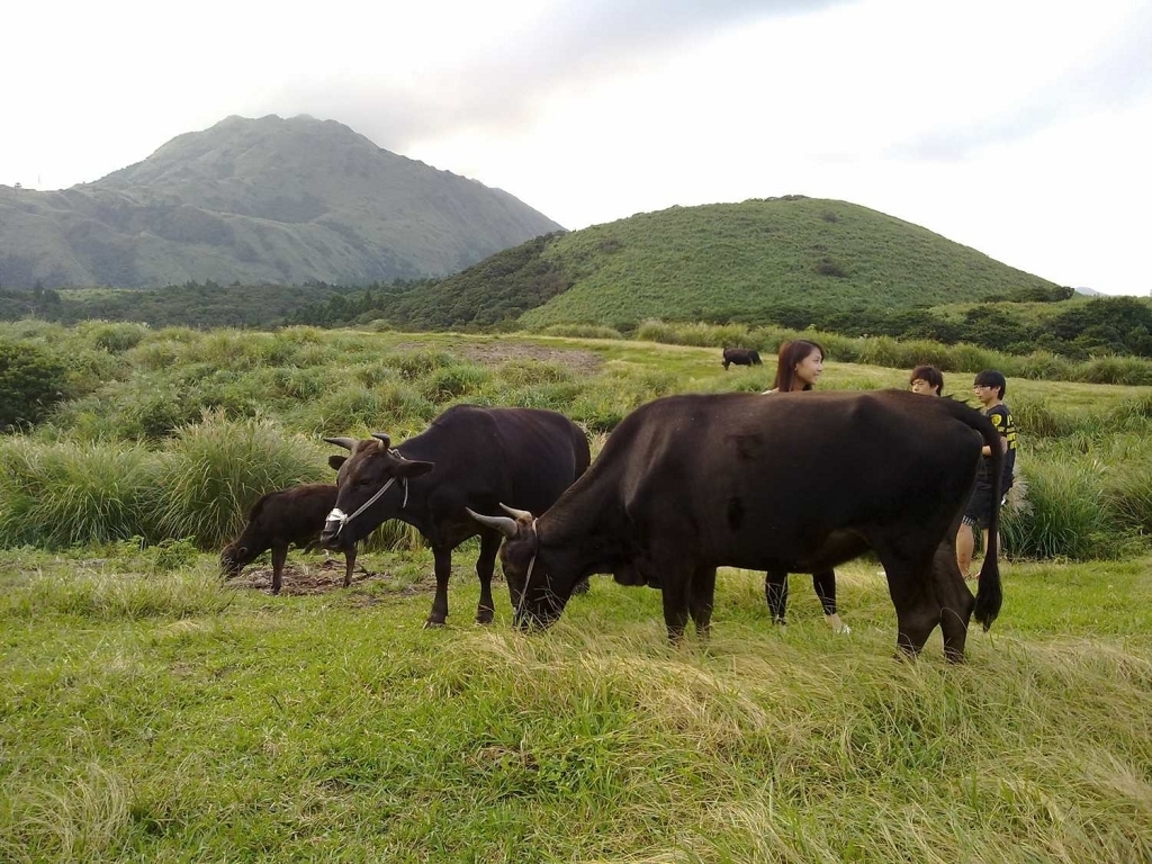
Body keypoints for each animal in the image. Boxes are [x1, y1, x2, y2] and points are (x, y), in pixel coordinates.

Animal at [220, 483, 354, 599]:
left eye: (229, 561)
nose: (222, 577)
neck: (261, 521)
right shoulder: (275, 544)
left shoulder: (281, 542)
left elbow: (278, 564)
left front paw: (275, 588)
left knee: (350, 553)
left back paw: (346, 583)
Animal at [470, 391, 1009, 663]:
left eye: (515, 571)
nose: (520, 627)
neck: (636, 464)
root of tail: (945, 406)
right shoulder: (704, 558)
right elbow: (703, 614)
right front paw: (705, 655)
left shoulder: (673, 555)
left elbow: (675, 618)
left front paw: (677, 659)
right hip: (938, 543)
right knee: (957, 604)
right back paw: (953, 670)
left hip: (903, 545)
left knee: (919, 615)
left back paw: (900, 673)